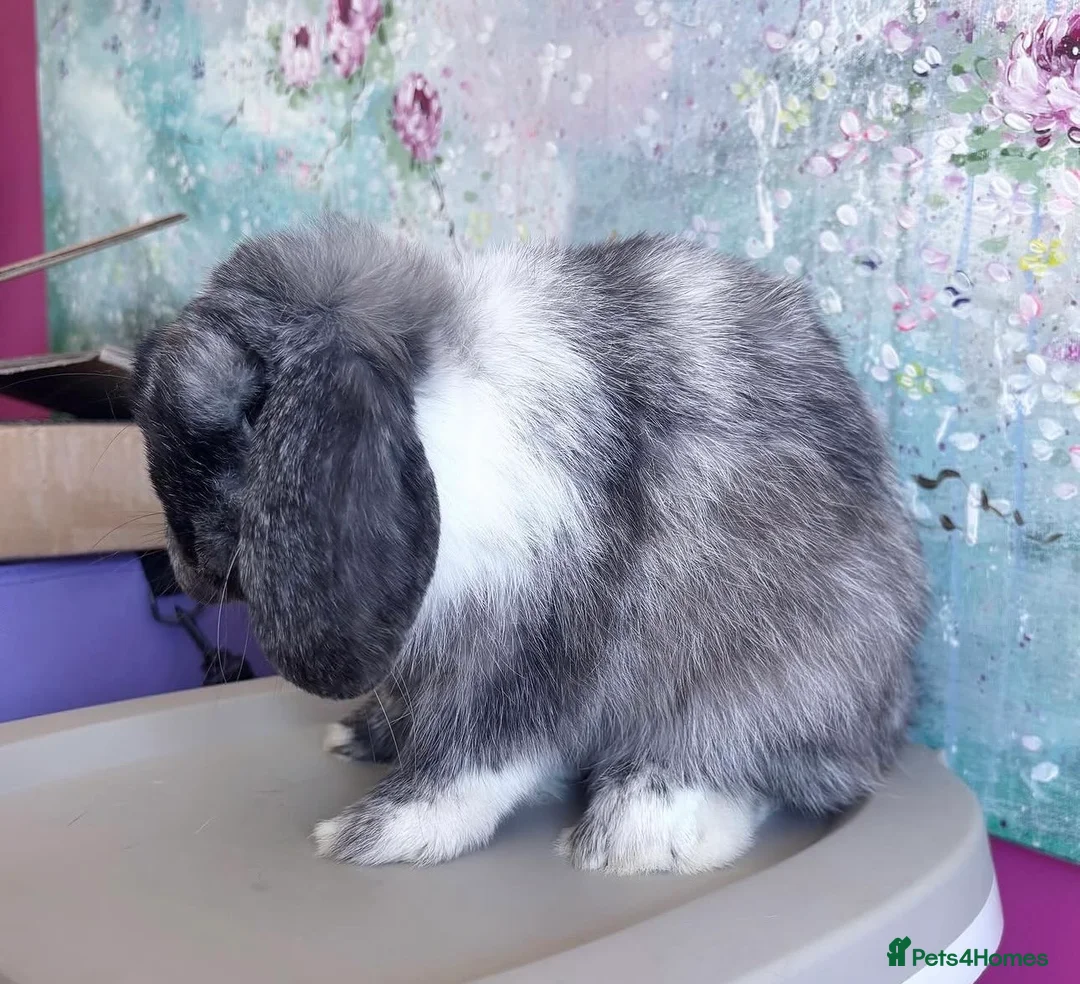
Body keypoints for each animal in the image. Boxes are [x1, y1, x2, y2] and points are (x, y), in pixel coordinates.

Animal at [130, 214, 927, 876]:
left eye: (246, 414)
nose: (183, 564)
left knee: (747, 763)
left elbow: (473, 762)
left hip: (773, 670)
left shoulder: (534, 650)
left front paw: (373, 835)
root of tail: (888, 722)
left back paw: (632, 833)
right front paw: (362, 740)